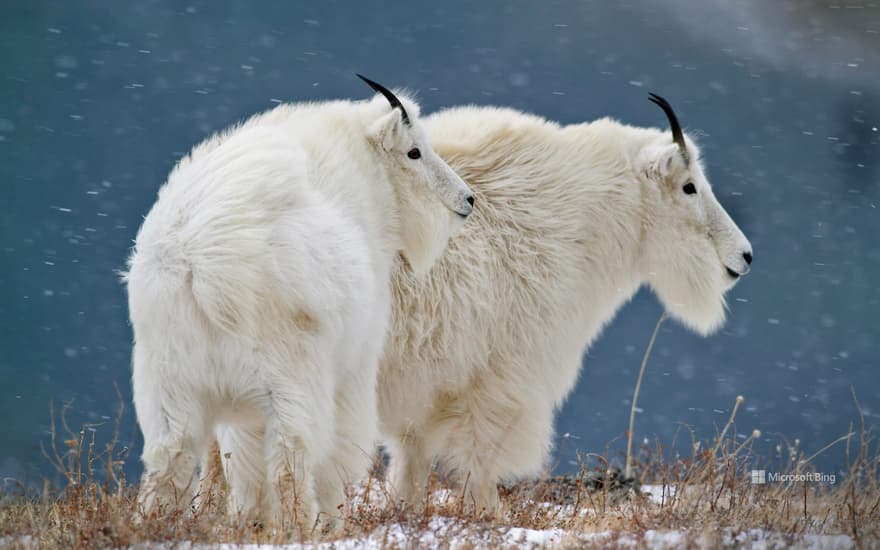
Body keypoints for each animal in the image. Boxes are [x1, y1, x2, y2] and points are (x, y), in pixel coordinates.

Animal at [124, 74, 474, 532]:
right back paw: (300, 525)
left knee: (172, 454)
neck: (367, 176)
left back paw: (153, 525)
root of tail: (200, 261)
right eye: (414, 151)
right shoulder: (352, 370)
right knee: (292, 454)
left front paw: (251, 521)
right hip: (292, 375)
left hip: (169, 378)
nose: (467, 200)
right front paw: (333, 520)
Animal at [374, 96, 752, 516]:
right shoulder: (505, 378)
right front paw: (489, 515)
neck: (579, 218)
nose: (744, 256)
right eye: (689, 187)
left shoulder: (426, 392)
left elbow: (411, 465)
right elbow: (481, 460)